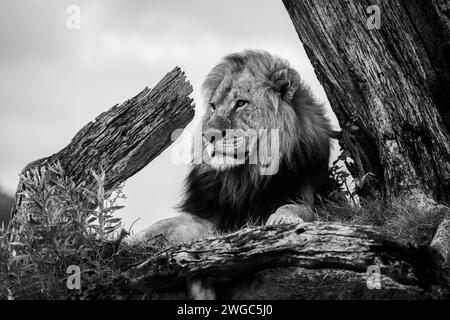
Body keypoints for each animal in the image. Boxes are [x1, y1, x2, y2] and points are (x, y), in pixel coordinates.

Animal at [135, 50, 332, 244]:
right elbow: (168, 222)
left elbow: (294, 207)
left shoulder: (305, 194)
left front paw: (283, 218)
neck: (245, 178)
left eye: (241, 103)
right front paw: (136, 236)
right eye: (213, 106)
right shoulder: (210, 214)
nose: (208, 135)